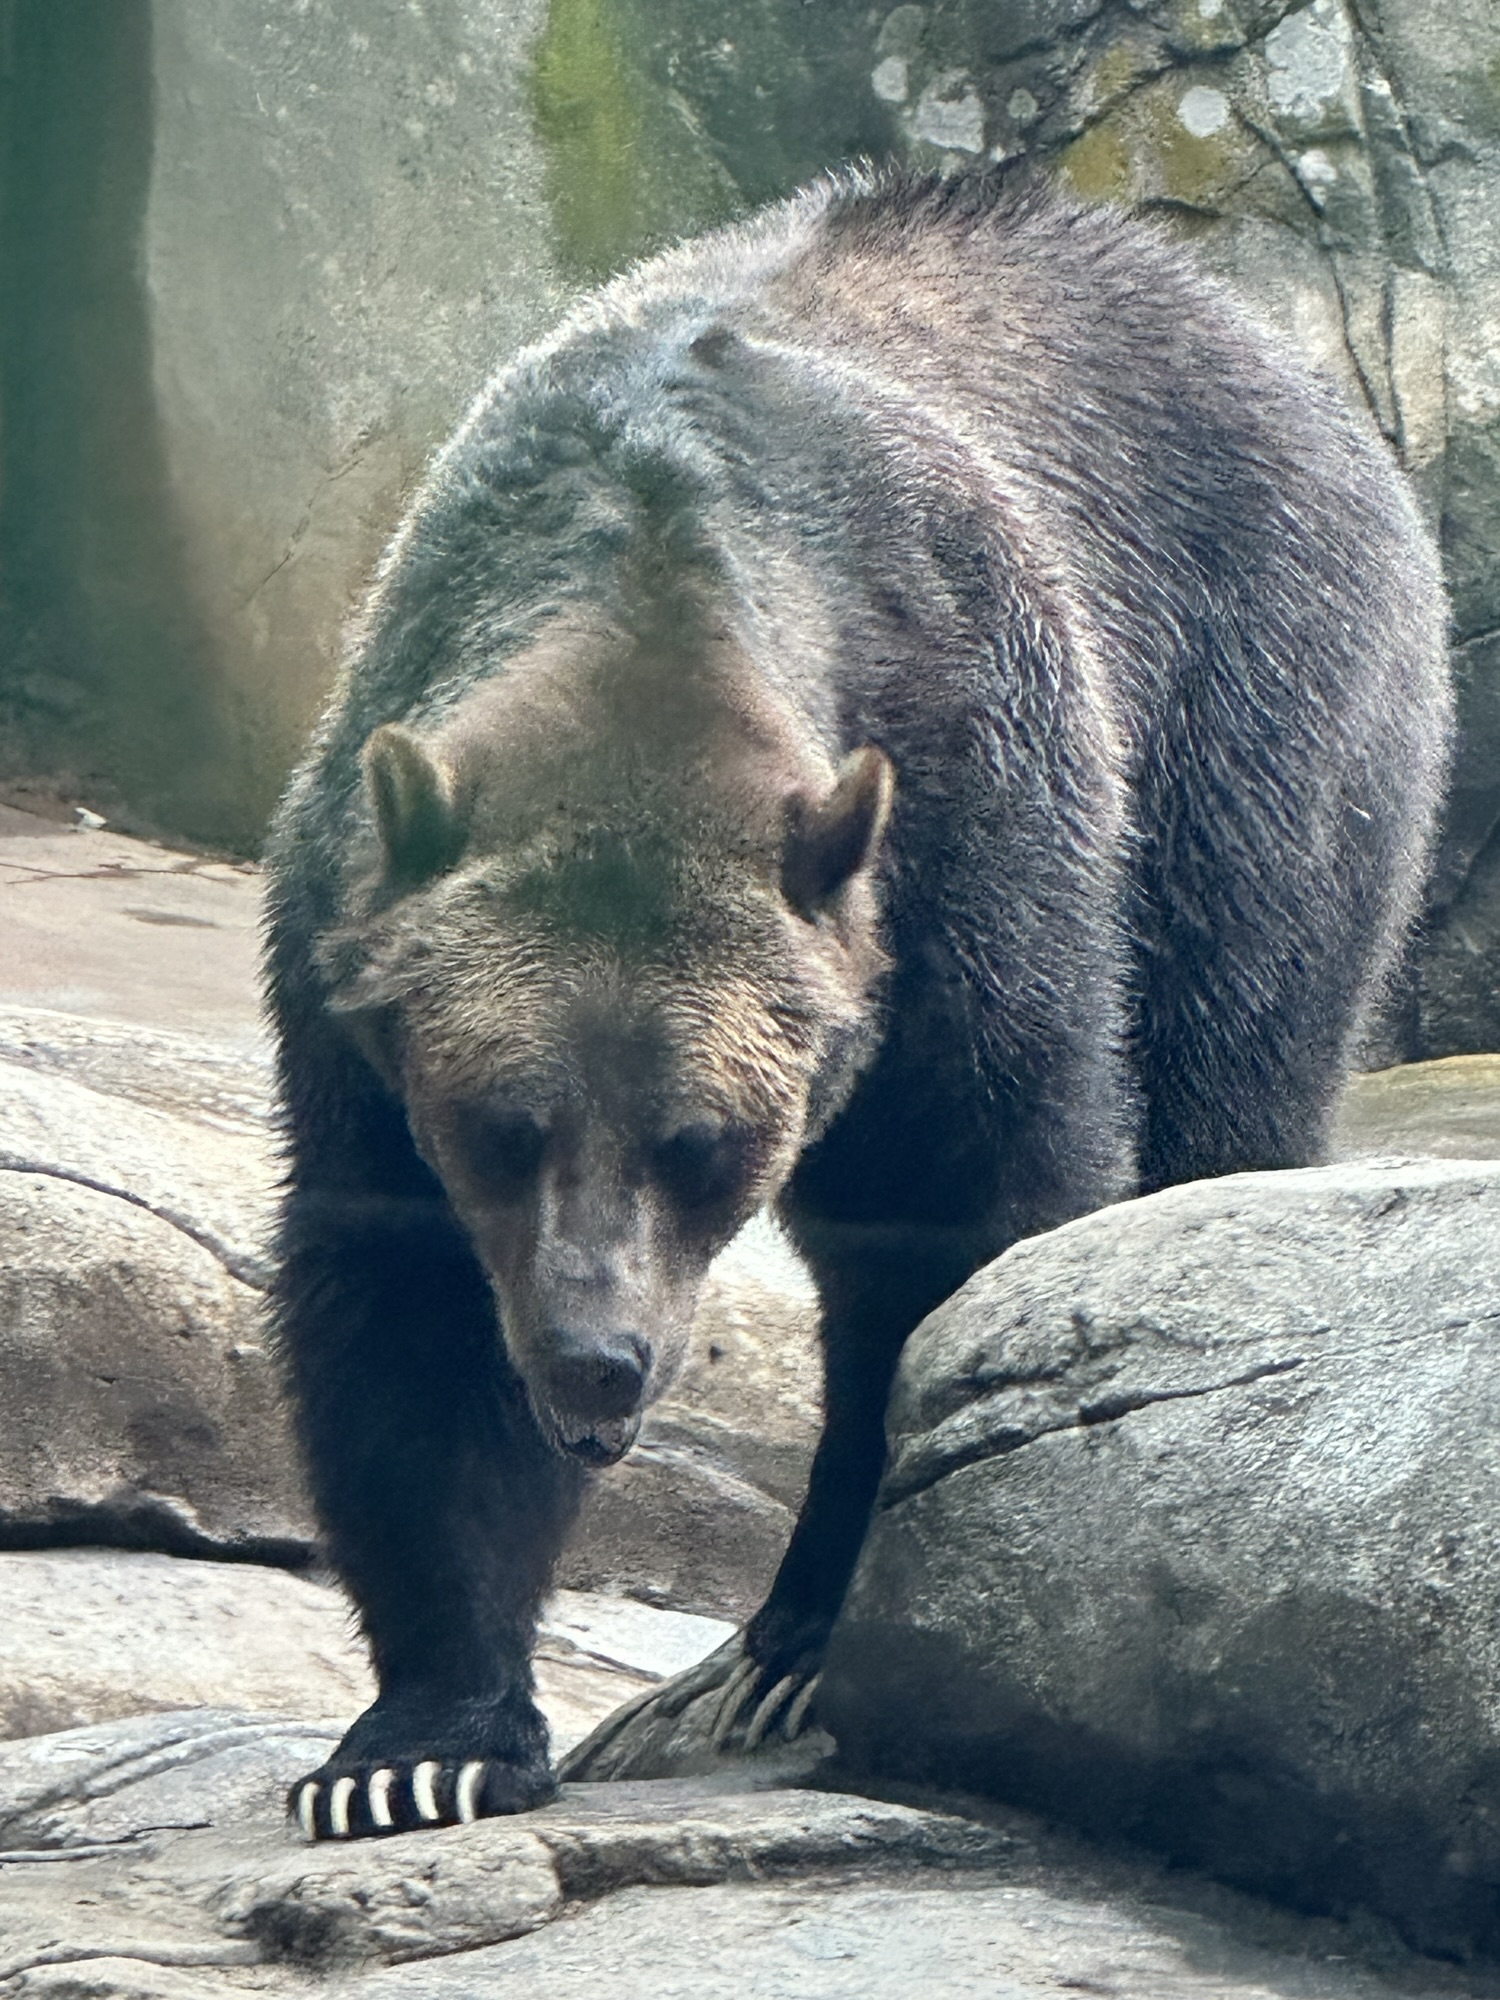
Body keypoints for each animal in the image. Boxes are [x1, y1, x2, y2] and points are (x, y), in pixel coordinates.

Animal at [263, 166, 1451, 1840]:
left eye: (698, 1143)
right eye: (501, 1127)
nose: (598, 1362)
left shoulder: (971, 825)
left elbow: (966, 1213)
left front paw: (840, 1619)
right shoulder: (355, 954)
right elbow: (406, 1305)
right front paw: (417, 1748)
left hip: (1257, 718)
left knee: (1231, 1071)